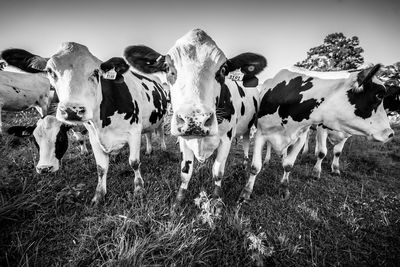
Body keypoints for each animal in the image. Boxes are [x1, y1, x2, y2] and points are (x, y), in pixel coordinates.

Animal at [1, 45, 168, 205]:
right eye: (49, 71)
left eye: (96, 72)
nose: (44, 169)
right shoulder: (94, 137)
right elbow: (101, 168)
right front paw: (99, 195)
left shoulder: (133, 132)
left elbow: (134, 162)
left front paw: (139, 189)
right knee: (148, 133)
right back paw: (147, 150)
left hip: (160, 118)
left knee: (158, 132)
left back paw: (161, 147)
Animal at [122, 28, 266, 209]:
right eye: (167, 67)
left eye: (223, 69)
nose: (195, 120)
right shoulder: (184, 139)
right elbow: (185, 171)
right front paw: (178, 202)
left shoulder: (226, 139)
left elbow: (218, 172)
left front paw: (217, 201)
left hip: (249, 125)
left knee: (246, 140)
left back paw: (246, 161)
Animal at [238, 65, 394, 203]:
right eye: (379, 95)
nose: (390, 133)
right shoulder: (261, 133)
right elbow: (255, 167)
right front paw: (246, 192)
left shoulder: (301, 137)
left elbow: (289, 165)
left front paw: (284, 188)